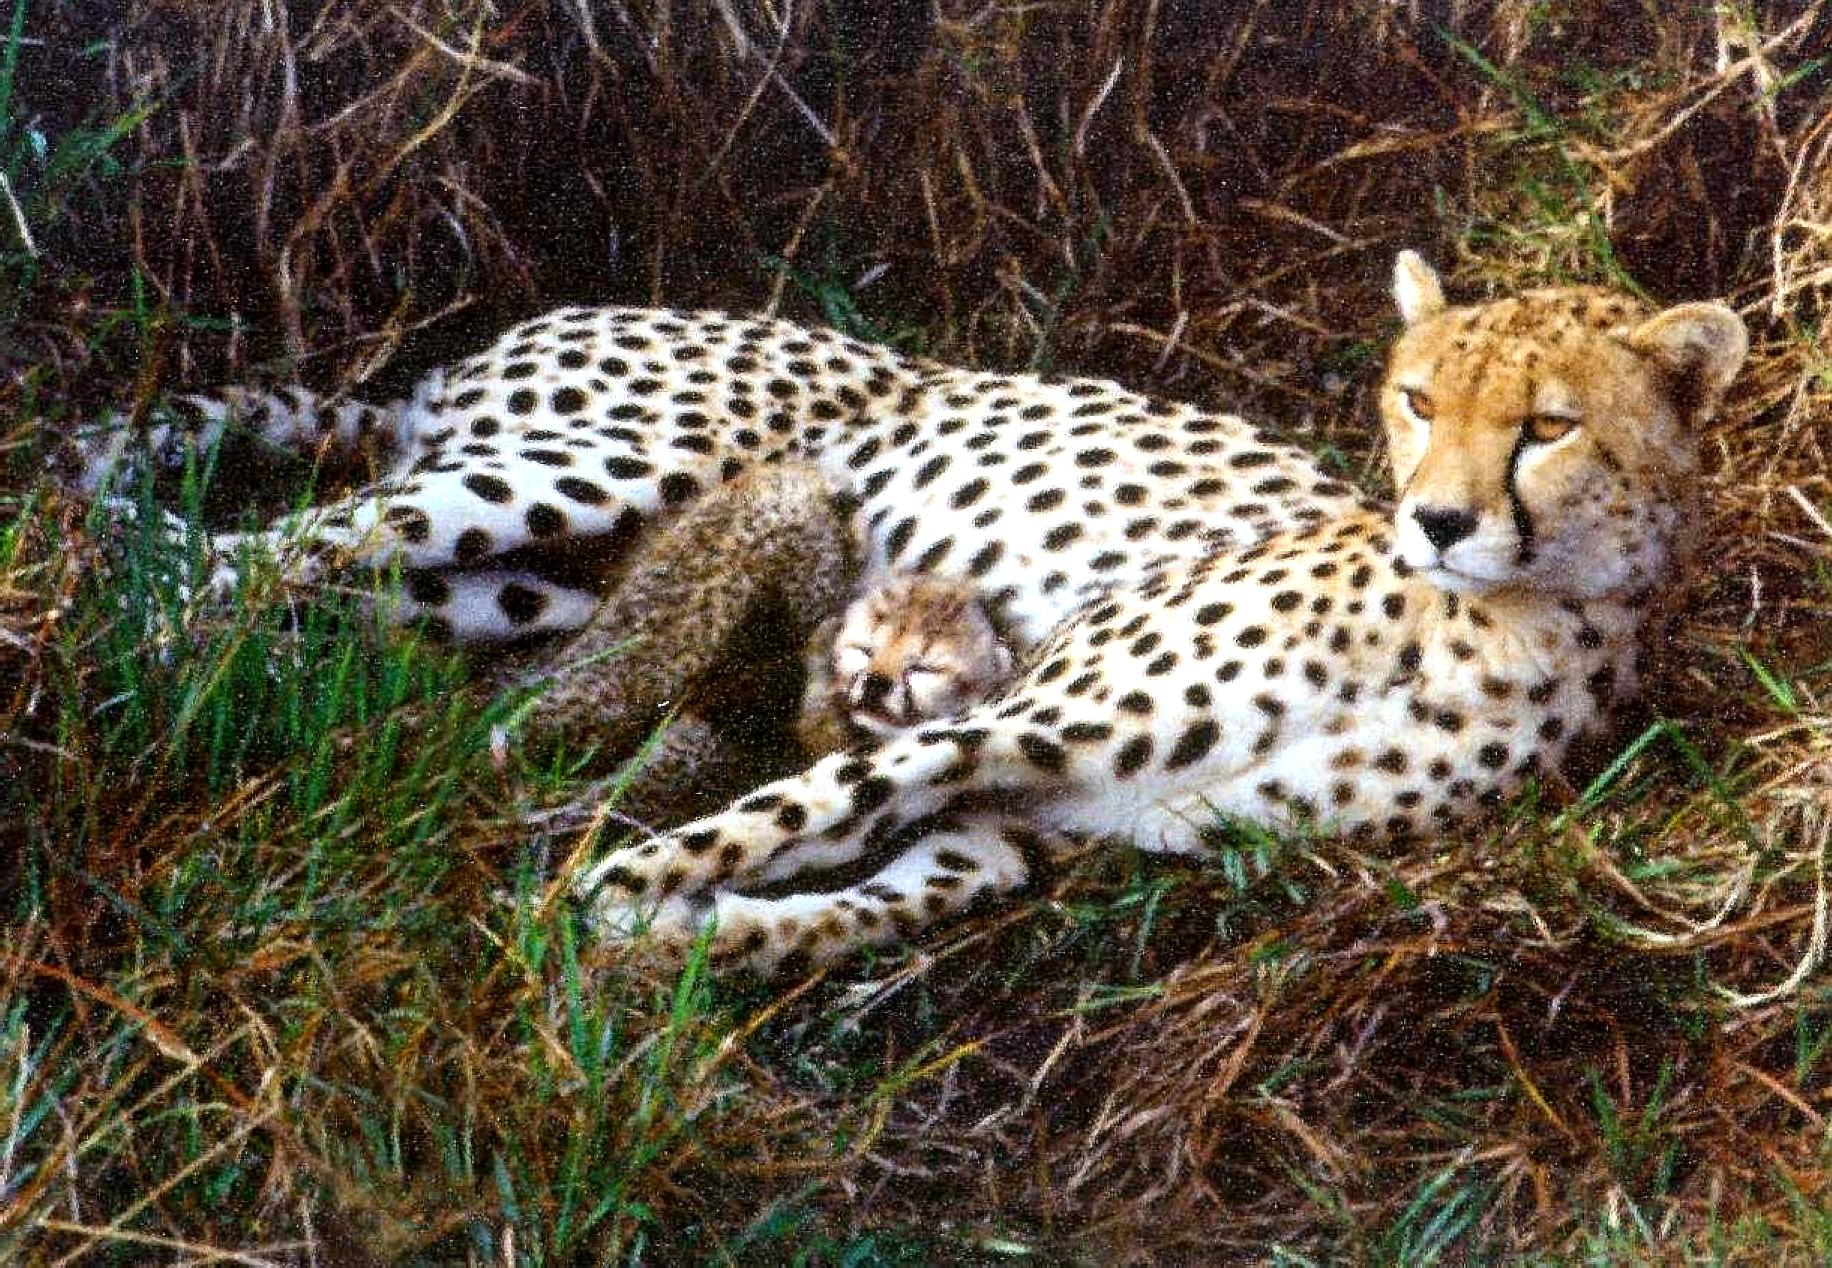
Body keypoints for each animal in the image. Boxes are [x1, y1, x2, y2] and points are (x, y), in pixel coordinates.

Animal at [566, 253, 1749, 974]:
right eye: (1418, 402)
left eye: (1547, 425)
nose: (1439, 521)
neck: (1493, 624)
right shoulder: (1011, 726)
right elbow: (795, 810)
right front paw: (602, 899)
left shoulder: (1035, 819)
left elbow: (890, 889)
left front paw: (690, 931)